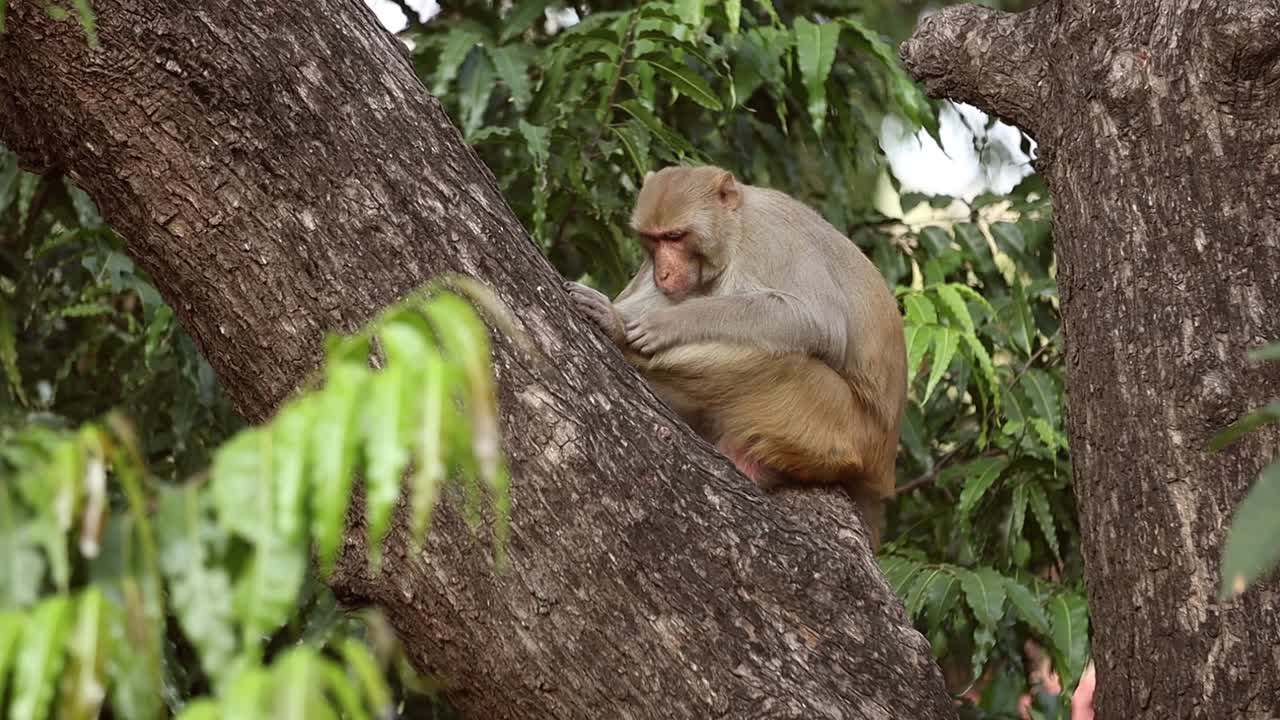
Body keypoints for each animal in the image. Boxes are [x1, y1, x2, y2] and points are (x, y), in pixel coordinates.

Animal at [565, 165, 906, 550]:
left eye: (676, 236)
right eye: (654, 240)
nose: (663, 273)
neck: (736, 228)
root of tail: (882, 468)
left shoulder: (770, 237)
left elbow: (818, 320)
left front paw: (666, 323)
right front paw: (615, 315)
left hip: (837, 422)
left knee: (780, 361)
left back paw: (625, 343)